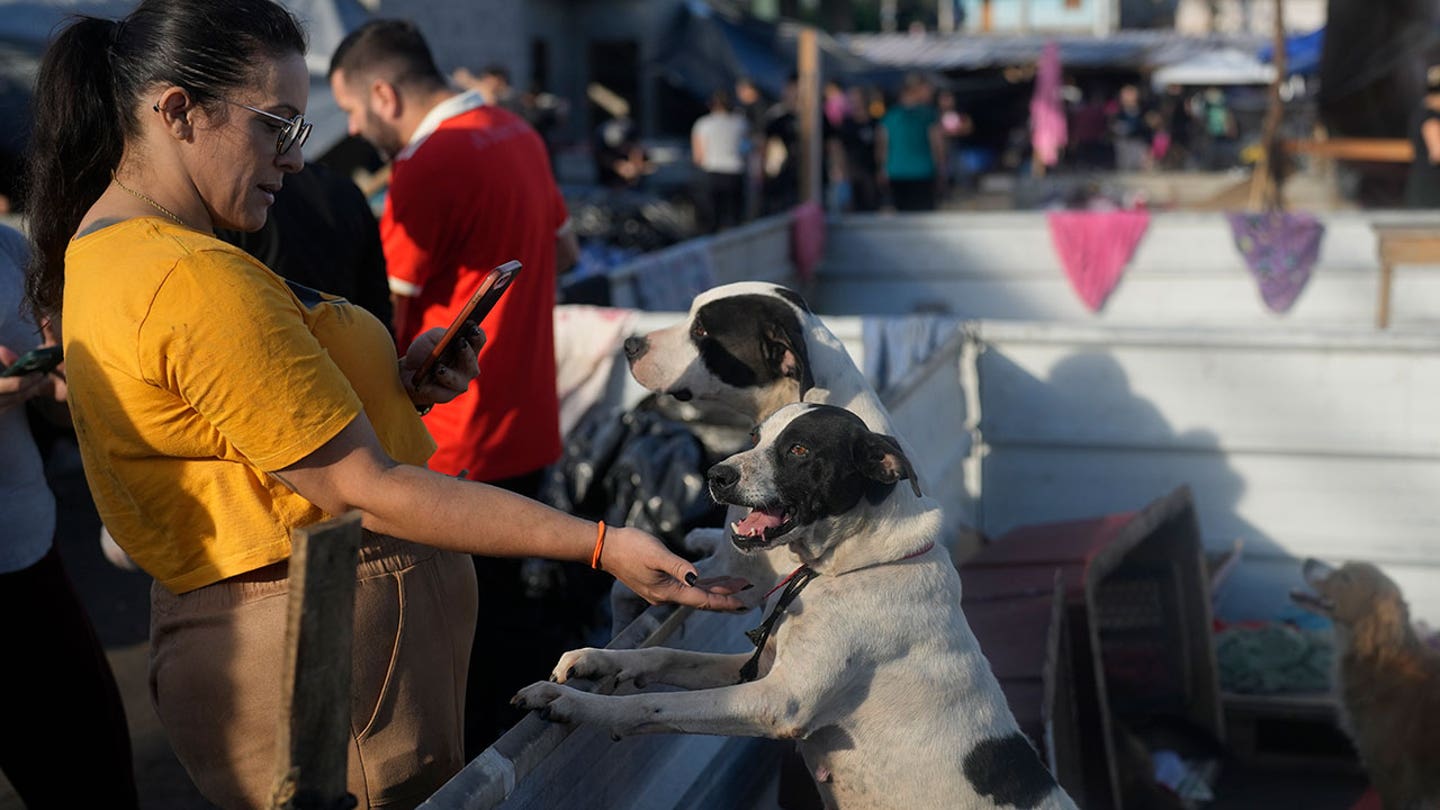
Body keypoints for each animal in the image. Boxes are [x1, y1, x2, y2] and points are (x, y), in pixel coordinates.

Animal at [515, 403, 1071, 807]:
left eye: (799, 449)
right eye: (756, 436)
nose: (715, 475)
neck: (849, 565)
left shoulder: (777, 701)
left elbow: (653, 705)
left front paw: (574, 704)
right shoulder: (759, 666)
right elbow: (662, 656)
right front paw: (597, 659)